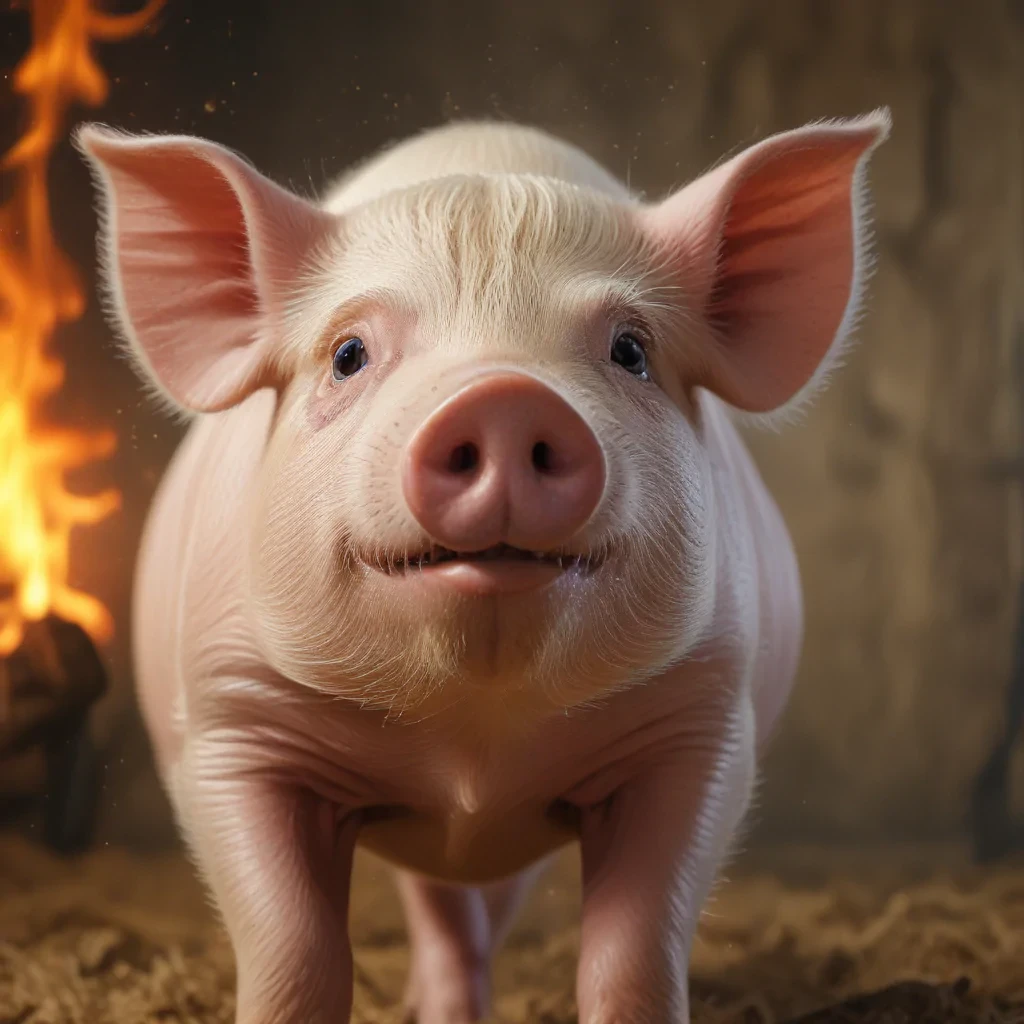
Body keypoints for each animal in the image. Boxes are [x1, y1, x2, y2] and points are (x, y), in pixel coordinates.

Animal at [75, 108, 889, 1024]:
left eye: (631, 351)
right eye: (348, 354)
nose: (504, 396)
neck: (475, 737)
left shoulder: (704, 720)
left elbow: (634, 952)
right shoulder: (230, 723)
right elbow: (295, 947)